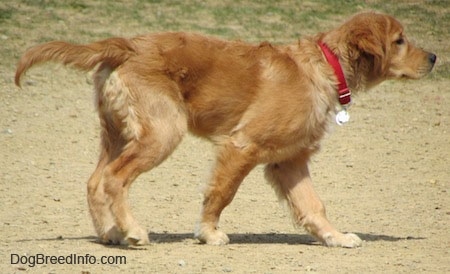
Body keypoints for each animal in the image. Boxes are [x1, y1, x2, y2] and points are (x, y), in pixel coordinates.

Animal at [15, 12, 434, 248]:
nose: (433, 57)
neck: (323, 67)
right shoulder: (242, 146)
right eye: (399, 41)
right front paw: (208, 233)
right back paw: (133, 230)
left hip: (119, 132)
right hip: (162, 132)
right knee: (114, 179)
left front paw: (335, 237)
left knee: (94, 181)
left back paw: (109, 232)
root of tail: (126, 45)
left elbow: (313, 205)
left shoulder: (290, 161)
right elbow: (222, 194)